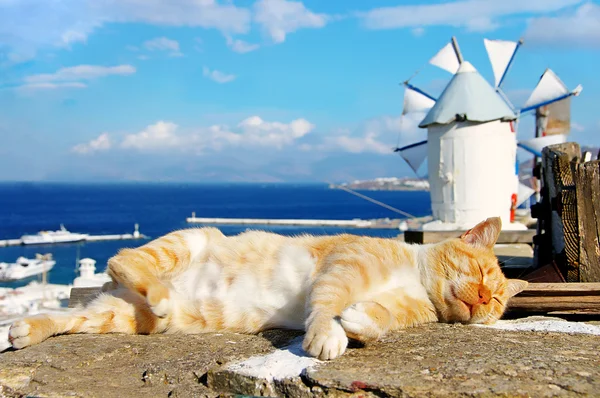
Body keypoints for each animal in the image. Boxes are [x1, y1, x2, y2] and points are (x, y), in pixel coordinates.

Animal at [8, 216, 524, 360]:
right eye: (481, 276)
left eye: (497, 301)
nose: (483, 299)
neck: (414, 278)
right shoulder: (344, 265)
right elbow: (328, 301)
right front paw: (327, 333)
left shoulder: (397, 306)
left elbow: (379, 316)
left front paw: (360, 323)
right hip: (188, 240)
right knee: (122, 257)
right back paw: (157, 291)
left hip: (118, 317)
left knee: (70, 317)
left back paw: (24, 329)